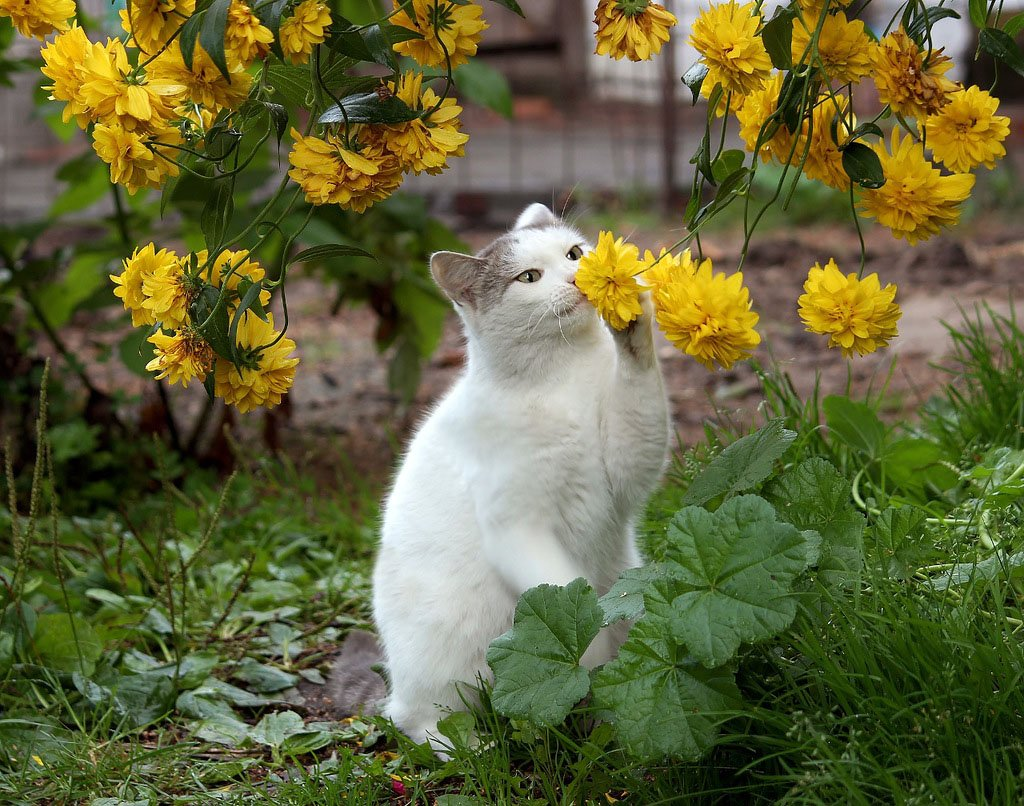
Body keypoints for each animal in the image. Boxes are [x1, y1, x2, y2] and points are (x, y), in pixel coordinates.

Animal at [372, 203, 667, 757]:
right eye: (529, 277)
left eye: (573, 253)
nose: (577, 277)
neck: (563, 377)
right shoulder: (516, 530)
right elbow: (570, 596)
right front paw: (583, 653)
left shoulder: (626, 466)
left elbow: (638, 388)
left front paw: (632, 319)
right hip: (448, 665)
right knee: (419, 718)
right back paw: (472, 749)